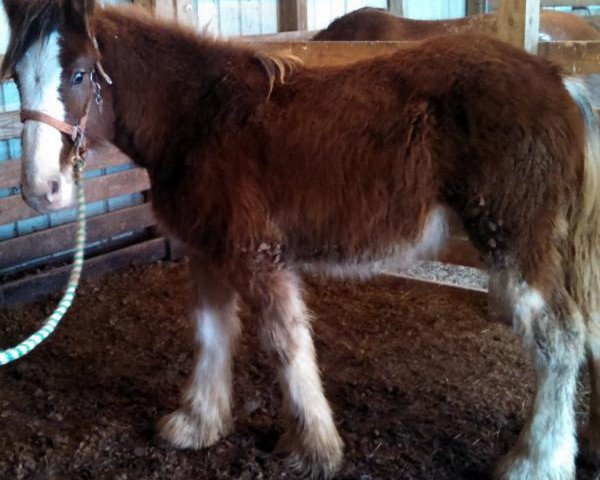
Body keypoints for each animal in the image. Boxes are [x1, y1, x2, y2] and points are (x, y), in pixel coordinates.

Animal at [3, 0, 600, 480]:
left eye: (80, 74)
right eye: (15, 78)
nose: (40, 190)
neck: (200, 117)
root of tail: (560, 83)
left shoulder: (257, 255)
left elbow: (285, 342)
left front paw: (313, 449)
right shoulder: (206, 251)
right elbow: (211, 334)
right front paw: (197, 424)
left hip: (516, 244)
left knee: (558, 337)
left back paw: (535, 462)